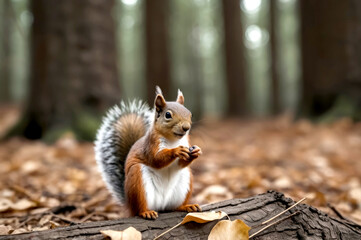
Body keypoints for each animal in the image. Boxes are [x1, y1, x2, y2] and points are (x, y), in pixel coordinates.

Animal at [95, 86, 202, 219]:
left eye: (190, 114)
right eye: (168, 115)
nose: (186, 127)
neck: (173, 140)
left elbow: (180, 164)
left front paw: (196, 151)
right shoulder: (151, 145)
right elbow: (156, 159)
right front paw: (176, 150)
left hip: (184, 182)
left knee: (175, 206)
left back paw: (186, 206)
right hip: (137, 181)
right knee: (140, 207)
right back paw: (146, 212)